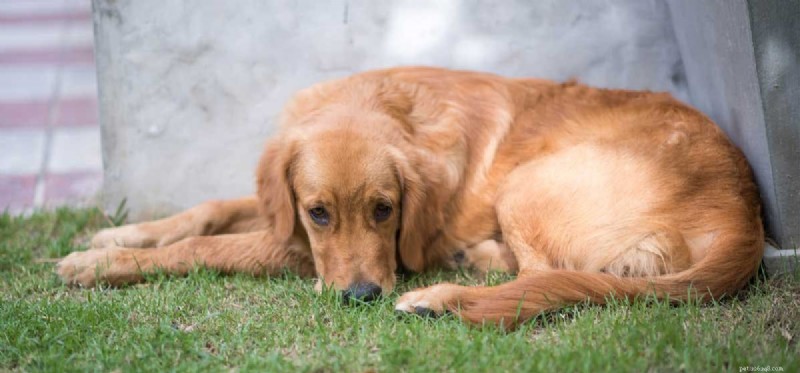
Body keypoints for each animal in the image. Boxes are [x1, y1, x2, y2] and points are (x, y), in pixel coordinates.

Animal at [54, 66, 764, 326]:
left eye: (385, 210)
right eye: (318, 212)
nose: (362, 296)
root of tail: (745, 210)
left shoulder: (303, 251)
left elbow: (207, 246)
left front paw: (100, 263)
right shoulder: (288, 217)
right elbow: (207, 210)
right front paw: (115, 235)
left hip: (530, 183)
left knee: (539, 281)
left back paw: (444, 294)